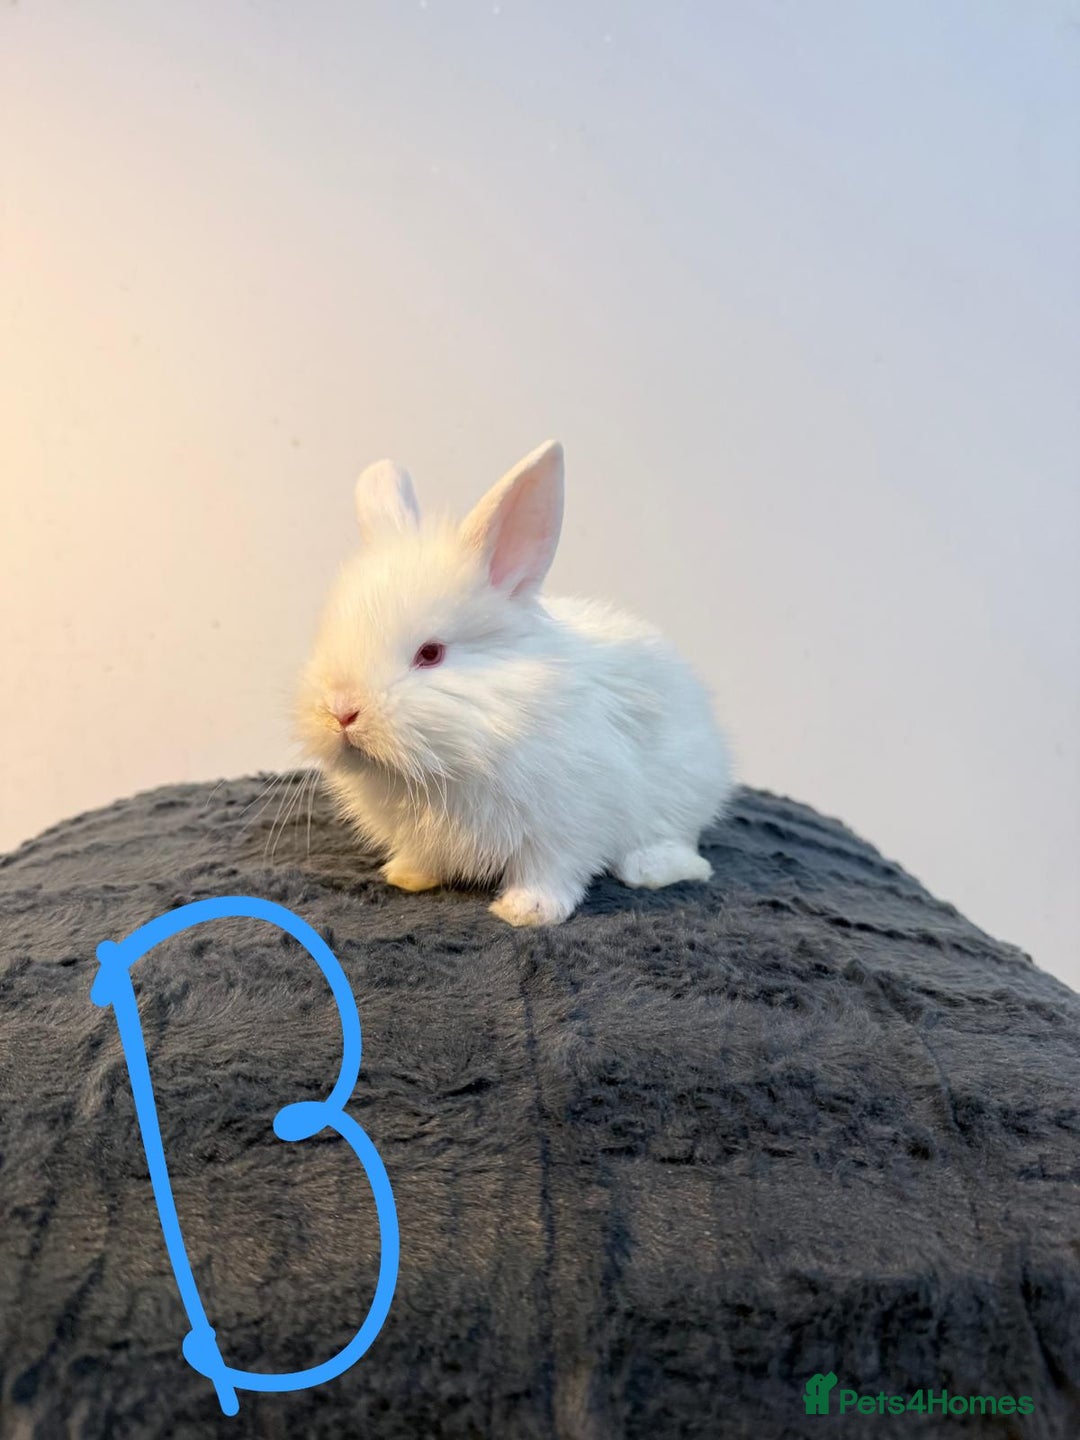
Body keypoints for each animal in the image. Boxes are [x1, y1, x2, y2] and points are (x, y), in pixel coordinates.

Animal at [296, 440, 733, 926]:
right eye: (327, 635)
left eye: (430, 654)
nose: (341, 711)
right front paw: (408, 876)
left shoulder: (566, 823)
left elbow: (551, 869)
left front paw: (527, 912)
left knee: (685, 849)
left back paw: (648, 868)